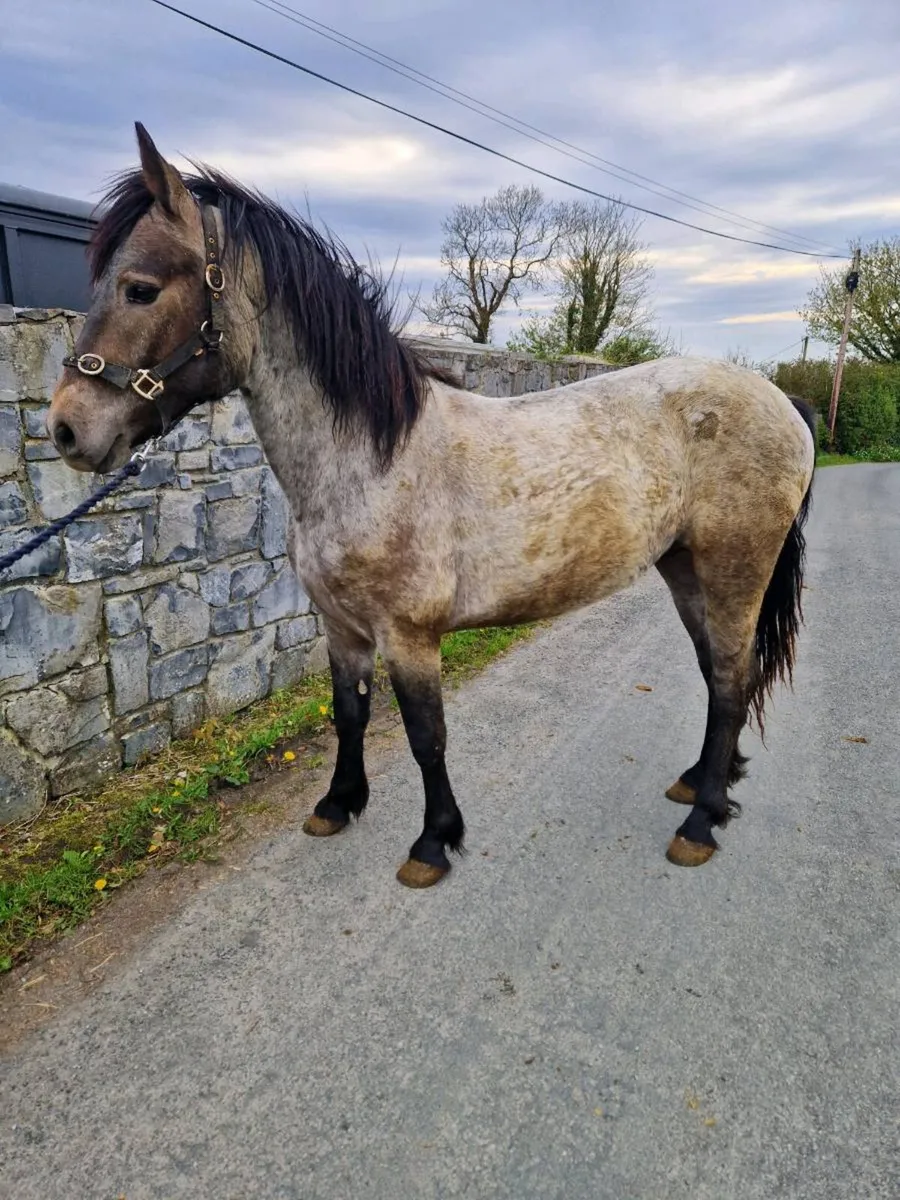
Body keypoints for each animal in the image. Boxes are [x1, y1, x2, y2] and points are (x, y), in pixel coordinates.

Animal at [47, 123, 816, 888]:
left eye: (140, 289)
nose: (66, 429)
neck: (369, 461)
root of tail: (783, 403)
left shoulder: (409, 635)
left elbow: (426, 736)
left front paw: (433, 842)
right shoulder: (342, 628)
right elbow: (348, 716)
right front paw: (338, 804)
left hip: (734, 571)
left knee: (731, 679)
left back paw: (701, 822)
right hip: (686, 569)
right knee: (720, 675)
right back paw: (702, 784)